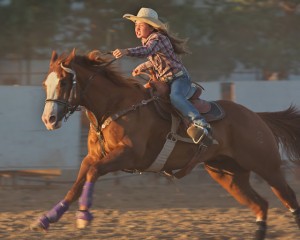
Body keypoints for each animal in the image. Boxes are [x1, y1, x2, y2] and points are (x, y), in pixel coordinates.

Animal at [30, 49, 300, 240]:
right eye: (45, 83)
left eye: (64, 83)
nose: (48, 119)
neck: (115, 107)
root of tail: (256, 116)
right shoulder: (93, 157)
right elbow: (78, 183)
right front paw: (47, 218)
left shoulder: (127, 155)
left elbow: (92, 174)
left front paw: (84, 216)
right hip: (228, 175)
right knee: (261, 204)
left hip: (267, 166)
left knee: (288, 196)